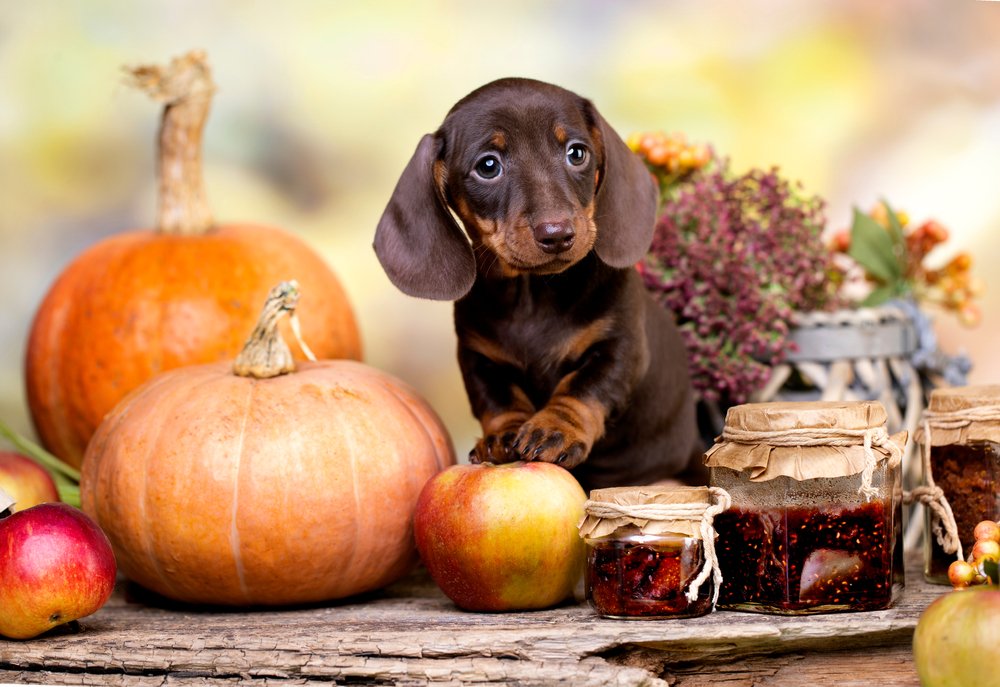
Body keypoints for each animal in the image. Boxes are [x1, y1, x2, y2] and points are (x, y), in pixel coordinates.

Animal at [376, 78, 704, 492]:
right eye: (488, 166)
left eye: (577, 153)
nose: (557, 234)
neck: (533, 294)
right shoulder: (478, 358)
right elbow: (498, 399)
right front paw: (503, 435)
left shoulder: (619, 346)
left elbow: (583, 387)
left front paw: (554, 429)